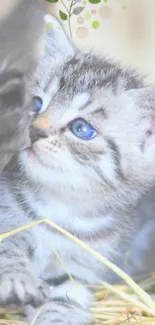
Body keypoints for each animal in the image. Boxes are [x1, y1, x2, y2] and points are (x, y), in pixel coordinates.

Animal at [1, 15, 155, 324]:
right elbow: (9, 245)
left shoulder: (80, 271)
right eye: (36, 103)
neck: (60, 206)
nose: (34, 131)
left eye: (81, 128)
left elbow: (65, 303)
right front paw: (16, 278)